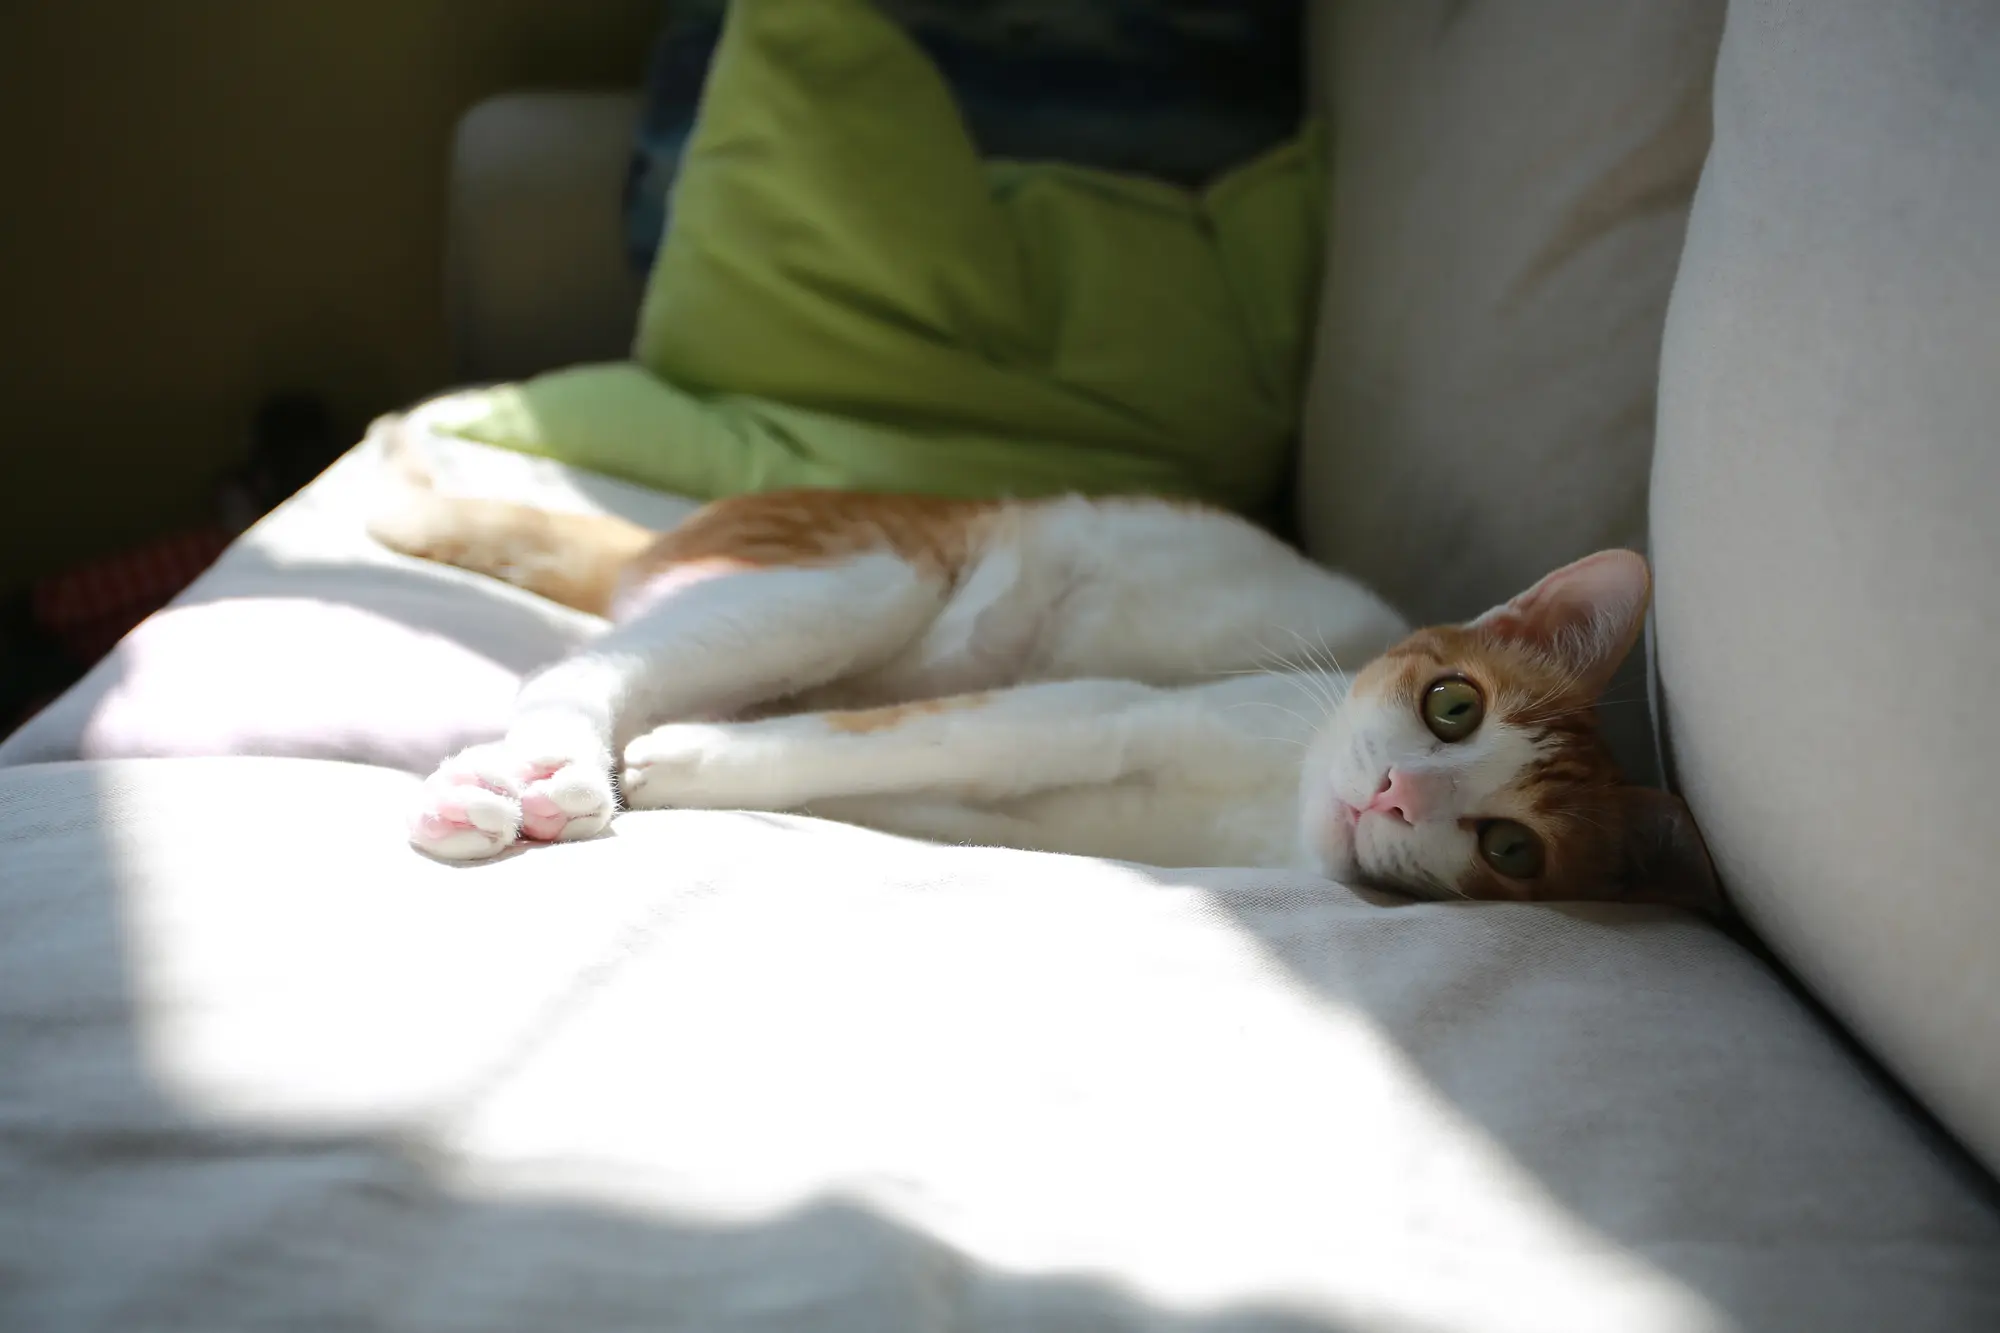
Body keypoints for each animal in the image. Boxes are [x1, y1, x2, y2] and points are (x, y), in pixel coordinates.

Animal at [376, 430, 1720, 908]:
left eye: (1509, 848)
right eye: (1453, 706)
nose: (1397, 796)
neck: (1260, 809)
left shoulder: (1040, 816)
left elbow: (899, 778)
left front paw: (724, 761)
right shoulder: (1102, 712)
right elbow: (924, 730)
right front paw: (689, 758)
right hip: (876, 576)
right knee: (580, 676)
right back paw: (534, 770)